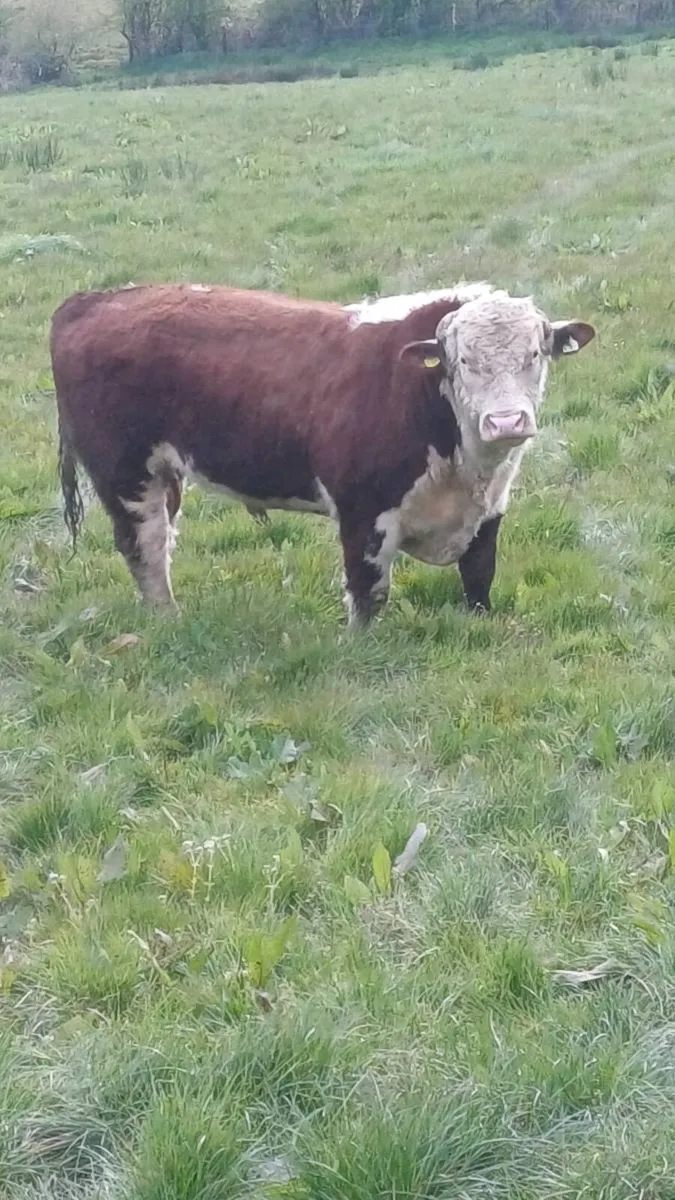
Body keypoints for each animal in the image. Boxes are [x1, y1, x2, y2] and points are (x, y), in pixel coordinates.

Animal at [51, 282, 595, 629]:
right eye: (463, 361)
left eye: (535, 354)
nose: (506, 422)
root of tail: (96, 299)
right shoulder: (362, 512)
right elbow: (368, 593)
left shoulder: (489, 510)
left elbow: (479, 576)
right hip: (126, 474)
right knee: (145, 547)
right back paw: (168, 620)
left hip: (163, 475)